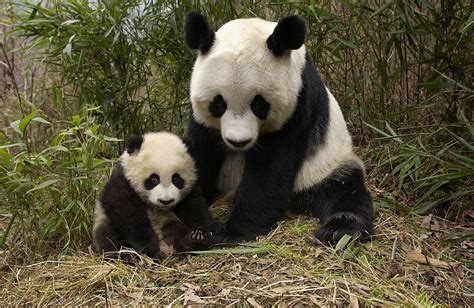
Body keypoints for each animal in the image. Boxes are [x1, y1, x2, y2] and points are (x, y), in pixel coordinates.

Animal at [183, 12, 372, 244]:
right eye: (218, 104)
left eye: (259, 104)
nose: (239, 142)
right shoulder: (202, 121)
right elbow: (200, 152)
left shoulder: (298, 106)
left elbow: (270, 171)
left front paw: (232, 233)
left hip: (325, 166)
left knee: (345, 190)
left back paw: (339, 230)